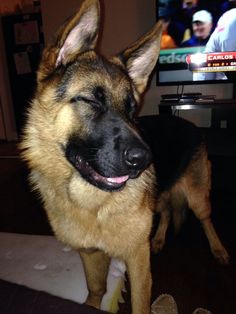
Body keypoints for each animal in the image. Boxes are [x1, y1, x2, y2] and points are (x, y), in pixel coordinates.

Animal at [20, 0, 229, 312]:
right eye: (91, 100)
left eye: (132, 109)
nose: (144, 160)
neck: (94, 205)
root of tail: (190, 123)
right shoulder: (90, 254)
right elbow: (96, 290)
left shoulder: (138, 260)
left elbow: (140, 303)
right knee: (167, 210)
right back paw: (159, 238)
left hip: (197, 196)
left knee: (206, 220)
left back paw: (217, 248)